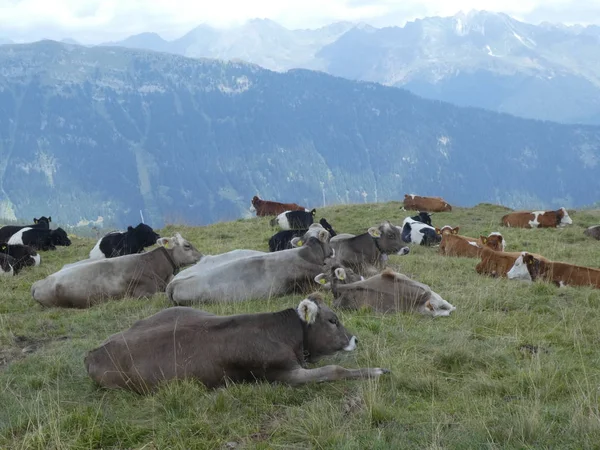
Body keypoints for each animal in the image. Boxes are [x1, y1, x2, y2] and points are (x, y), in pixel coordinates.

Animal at [83, 292, 390, 394]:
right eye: (332, 320)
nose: (354, 339)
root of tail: (92, 353)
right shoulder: (283, 373)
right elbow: (333, 370)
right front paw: (378, 371)